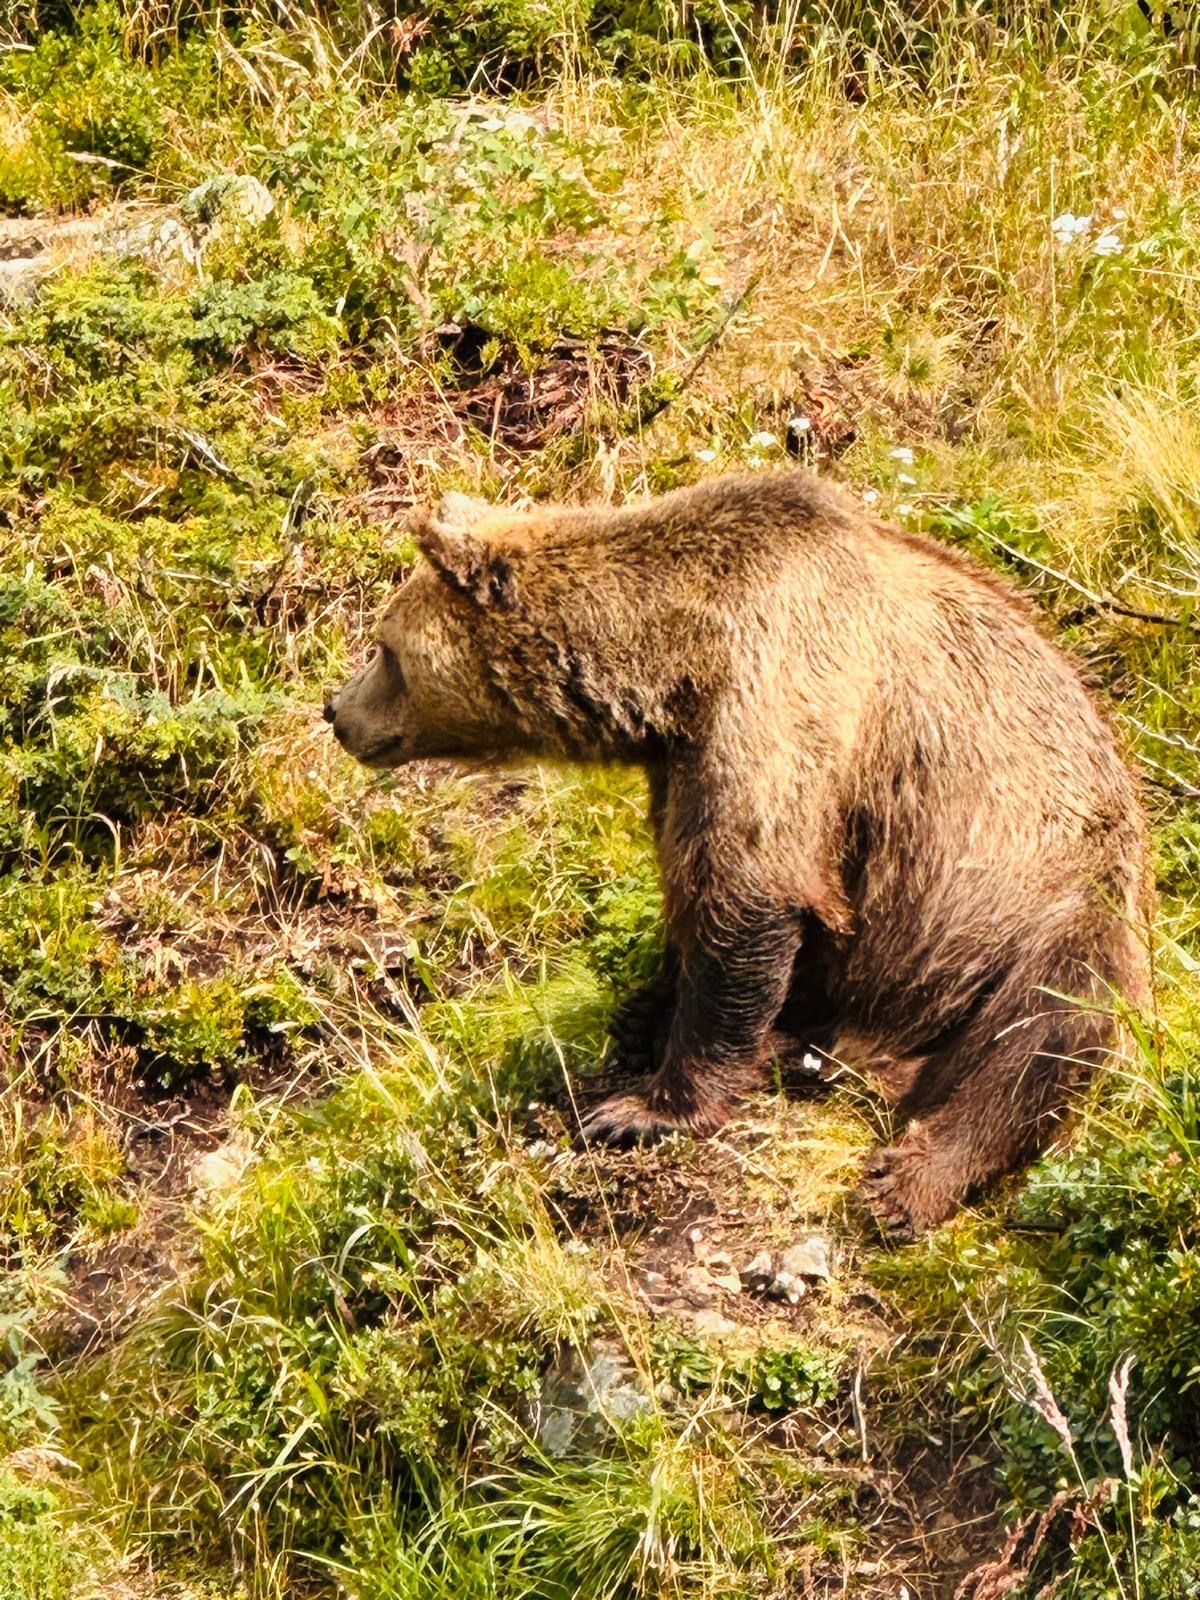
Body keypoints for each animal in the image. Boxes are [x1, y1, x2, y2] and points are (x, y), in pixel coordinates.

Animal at [326, 471, 1152, 1237]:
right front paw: (645, 1010)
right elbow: (697, 888)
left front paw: (643, 1107)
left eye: (385, 648)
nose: (335, 710)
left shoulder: (779, 690)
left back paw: (907, 1181)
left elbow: (747, 890)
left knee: (1041, 1032)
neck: (675, 667)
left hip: (1053, 904)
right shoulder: (684, 763)